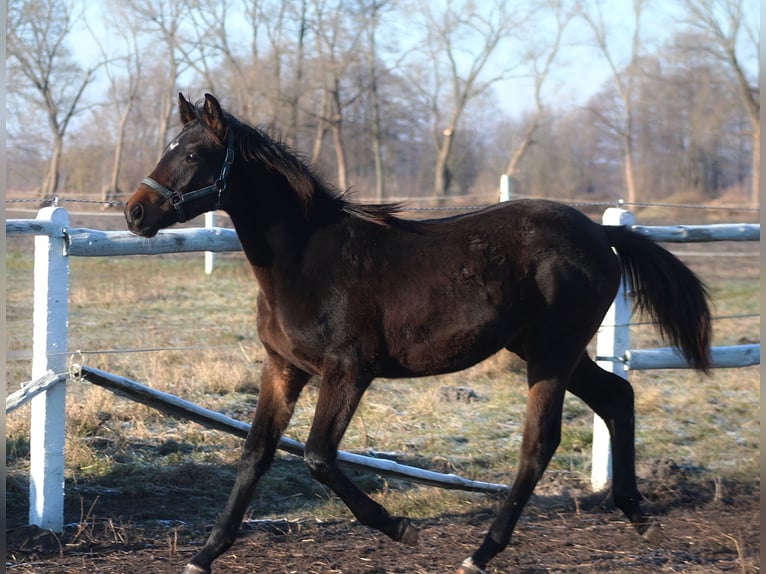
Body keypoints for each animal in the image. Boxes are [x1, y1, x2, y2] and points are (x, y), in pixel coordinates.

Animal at [125, 93, 711, 574]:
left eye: (193, 155)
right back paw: (637, 515)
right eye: (170, 148)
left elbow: (318, 455)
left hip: (552, 352)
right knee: (616, 396)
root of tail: (601, 233)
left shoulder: (349, 370)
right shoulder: (283, 368)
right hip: (547, 349)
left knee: (541, 441)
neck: (307, 260)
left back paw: (481, 554)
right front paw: (203, 556)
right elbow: (255, 454)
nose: (135, 211)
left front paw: (400, 528)